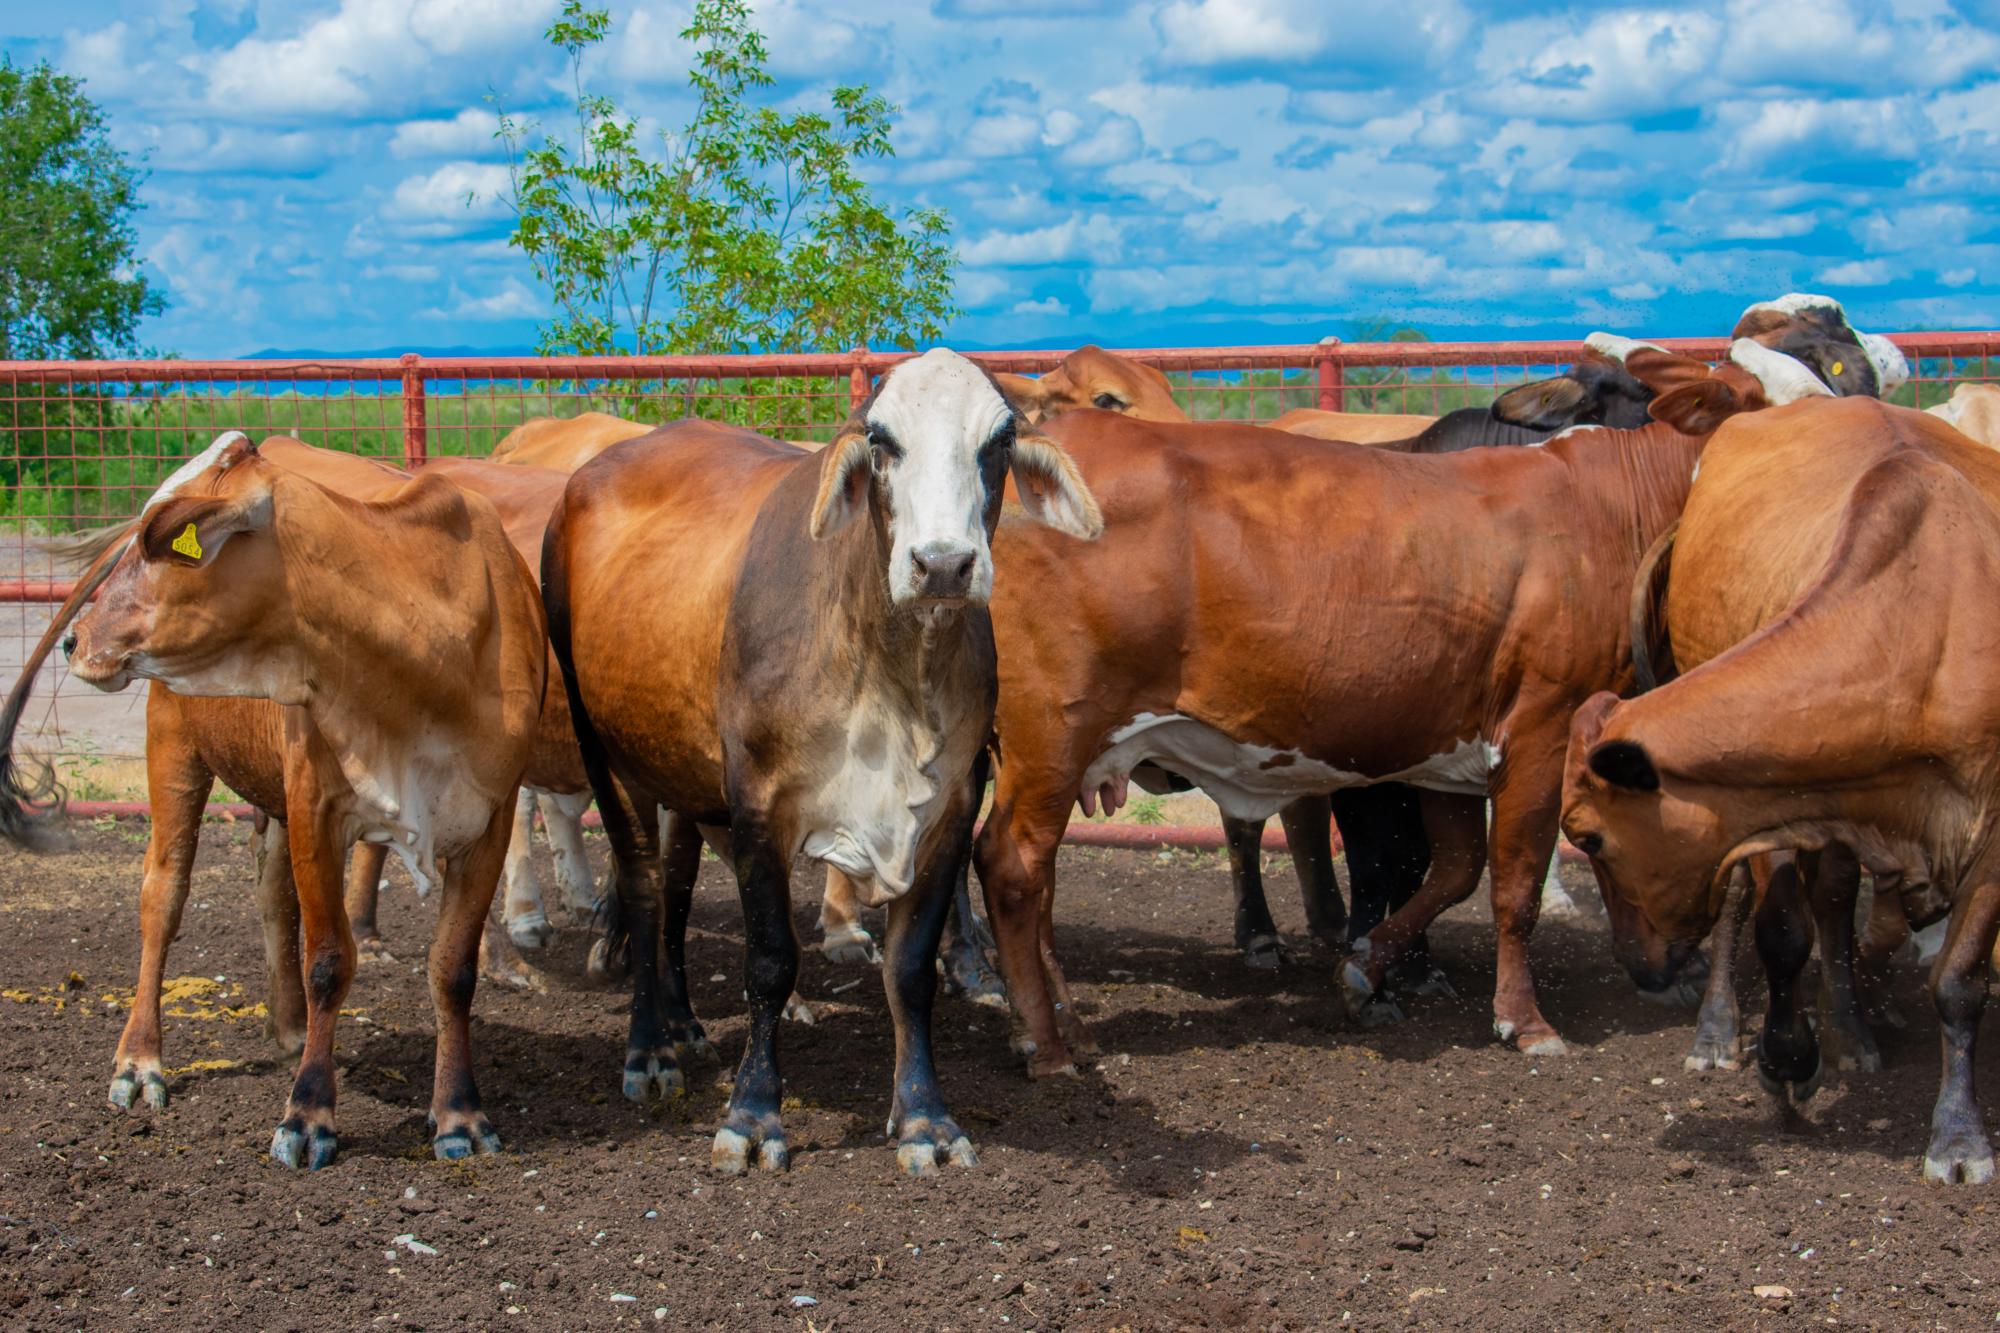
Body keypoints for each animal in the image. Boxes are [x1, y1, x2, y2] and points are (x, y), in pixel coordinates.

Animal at [11, 434, 552, 1160]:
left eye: (161, 541)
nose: (76, 638)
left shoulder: (489, 816)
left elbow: (453, 968)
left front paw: (460, 1113)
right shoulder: (316, 808)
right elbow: (329, 959)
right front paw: (308, 1113)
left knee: (272, 894)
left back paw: (291, 1027)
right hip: (175, 748)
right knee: (163, 897)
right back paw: (140, 1061)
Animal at [540, 344, 1104, 1176]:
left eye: (999, 440)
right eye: (881, 438)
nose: (943, 564)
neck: (894, 672)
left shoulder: (951, 807)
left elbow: (911, 968)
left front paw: (924, 1118)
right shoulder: (758, 804)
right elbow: (771, 960)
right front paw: (752, 1115)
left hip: (678, 766)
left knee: (673, 885)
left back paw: (683, 1024)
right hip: (602, 746)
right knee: (642, 887)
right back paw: (649, 1050)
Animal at [1560, 396, 2000, 1184]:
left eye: (1588, 836)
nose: (1635, 965)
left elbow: (1959, 979)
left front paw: (1958, 1136)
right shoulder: (1762, 805)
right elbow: (1782, 930)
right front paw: (1785, 1055)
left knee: (1835, 901)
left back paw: (1851, 1031)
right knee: (1751, 901)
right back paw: (1719, 1030)